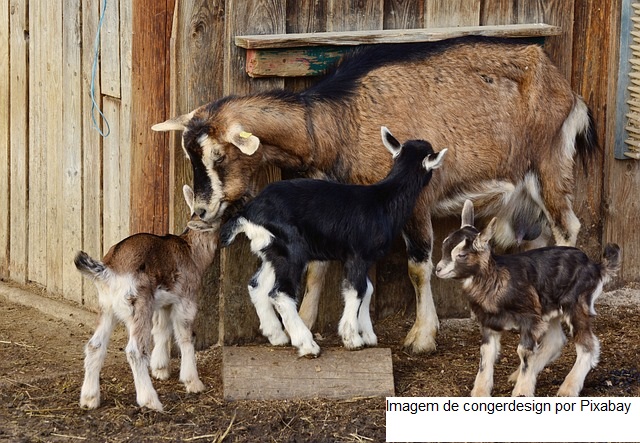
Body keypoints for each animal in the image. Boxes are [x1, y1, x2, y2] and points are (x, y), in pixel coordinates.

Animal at [74, 185, 217, 411]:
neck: (191, 251)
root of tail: (109, 270)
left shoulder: (163, 302)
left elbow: (161, 330)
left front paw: (160, 369)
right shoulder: (186, 299)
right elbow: (185, 336)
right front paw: (193, 382)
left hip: (107, 307)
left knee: (94, 345)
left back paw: (89, 399)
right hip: (138, 305)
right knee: (135, 350)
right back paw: (150, 400)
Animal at [219, 128, 446, 356]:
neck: (383, 200)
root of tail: (248, 213)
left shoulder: (361, 258)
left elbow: (368, 289)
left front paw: (368, 335)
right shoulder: (358, 255)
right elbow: (357, 290)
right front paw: (352, 338)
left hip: (272, 252)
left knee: (257, 286)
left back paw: (277, 336)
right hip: (291, 251)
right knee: (280, 293)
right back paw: (306, 344)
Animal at [435, 200, 620, 397]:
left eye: (461, 254)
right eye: (444, 247)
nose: (438, 269)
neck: (497, 279)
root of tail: (596, 266)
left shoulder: (529, 319)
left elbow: (523, 352)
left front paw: (522, 392)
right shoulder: (489, 322)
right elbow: (486, 354)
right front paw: (480, 392)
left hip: (576, 304)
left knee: (588, 345)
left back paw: (568, 388)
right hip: (549, 309)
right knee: (555, 341)